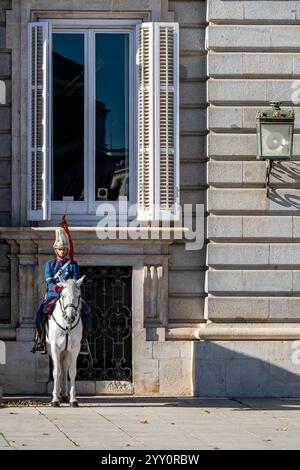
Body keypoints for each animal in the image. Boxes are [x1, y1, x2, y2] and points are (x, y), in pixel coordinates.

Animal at [46, 278, 85, 406]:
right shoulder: (55, 347)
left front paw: (73, 399)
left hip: (66, 352)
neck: (67, 325)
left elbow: (72, 372)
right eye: (63, 296)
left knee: (64, 369)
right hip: (52, 350)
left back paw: (64, 395)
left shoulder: (75, 348)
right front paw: (54, 400)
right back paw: (58, 395)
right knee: (58, 368)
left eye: (78, 296)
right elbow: (56, 372)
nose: (70, 318)